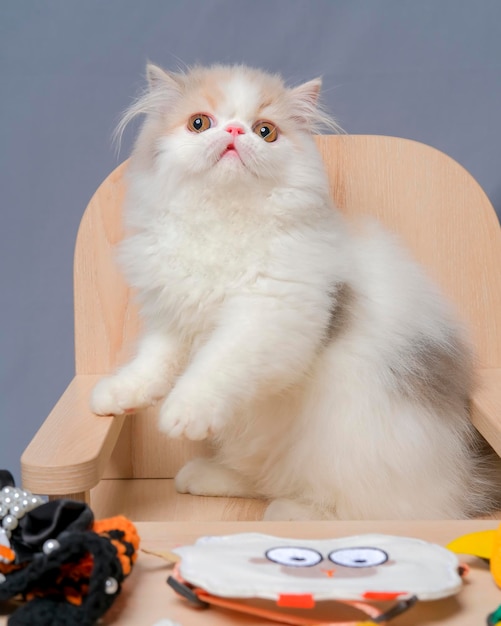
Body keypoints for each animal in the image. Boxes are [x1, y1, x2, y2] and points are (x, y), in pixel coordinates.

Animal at [92, 63, 498, 520]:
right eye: (199, 123)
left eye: (265, 131)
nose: (234, 131)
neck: (223, 220)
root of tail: (462, 483)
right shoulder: (172, 316)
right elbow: (152, 364)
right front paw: (118, 395)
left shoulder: (269, 317)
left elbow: (216, 366)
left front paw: (184, 412)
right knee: (262, 476)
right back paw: (206, 477)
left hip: (350, 449)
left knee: (371, 508)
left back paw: (291, 512)